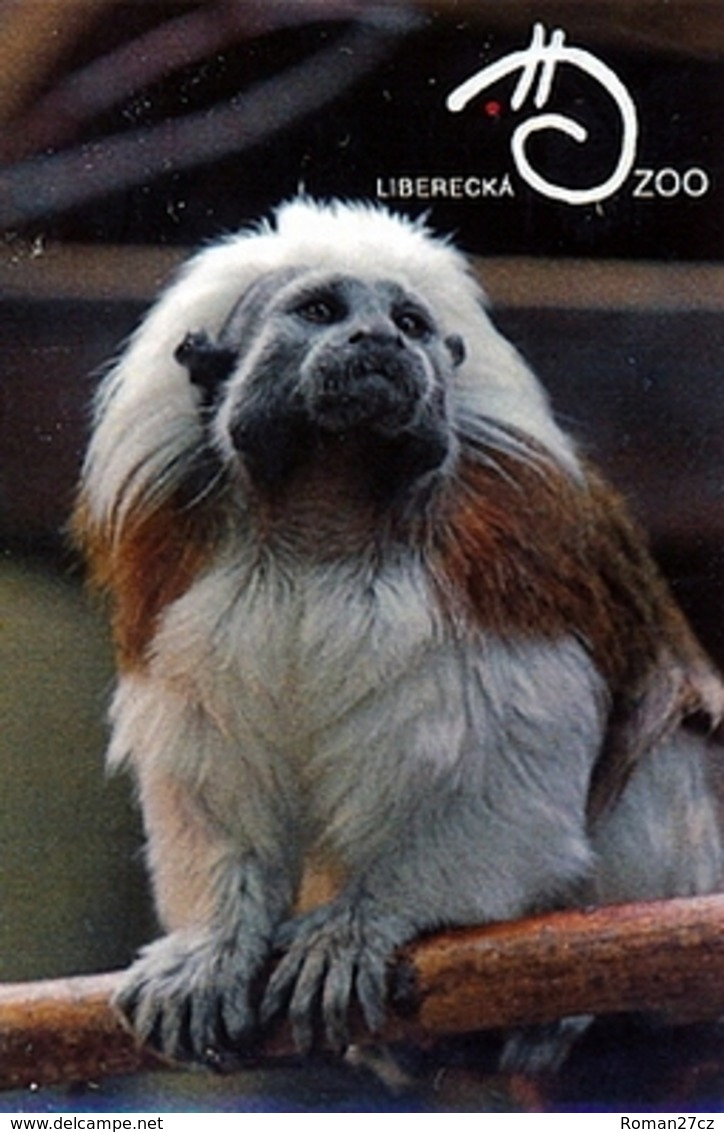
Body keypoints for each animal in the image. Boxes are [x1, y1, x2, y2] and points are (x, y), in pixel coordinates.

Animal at [73, 194, 724, 1068]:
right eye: (322, 311)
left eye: (409, 322)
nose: (380, 341)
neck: (328, 513)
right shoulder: (182, 577)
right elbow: (214, 769)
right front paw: (214, 947)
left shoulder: (502, 554)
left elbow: (508, 762)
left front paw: (370, 921)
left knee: (670, 738)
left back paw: (573, 1012)